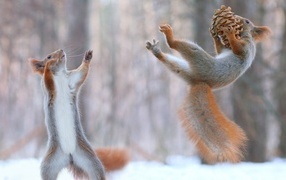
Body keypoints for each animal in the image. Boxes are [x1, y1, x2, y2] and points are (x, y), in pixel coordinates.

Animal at [29, 48, 128, 179]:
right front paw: (49, 65)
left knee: (96, 172)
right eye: (48, 56)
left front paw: (87, 57)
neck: (59, 74)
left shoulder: (72, 80)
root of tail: (69, 156)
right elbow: (47, 78)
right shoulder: (47, 88)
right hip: (49, 166)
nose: (61, 50)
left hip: (89, 159)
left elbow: (82, 72)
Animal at [146, 16, 272, 163]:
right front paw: (216, 37)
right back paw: (156, 51)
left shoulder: (246, 47)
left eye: (247, 21)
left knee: (177, 46)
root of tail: (200, 82)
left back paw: (169, 37)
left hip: (201, 60)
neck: (245, 36)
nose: (239, 18)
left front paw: (229, 34)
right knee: (173, 64)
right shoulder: (226, 49)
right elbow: (220, 50)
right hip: (184, 70)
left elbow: (238, 49)